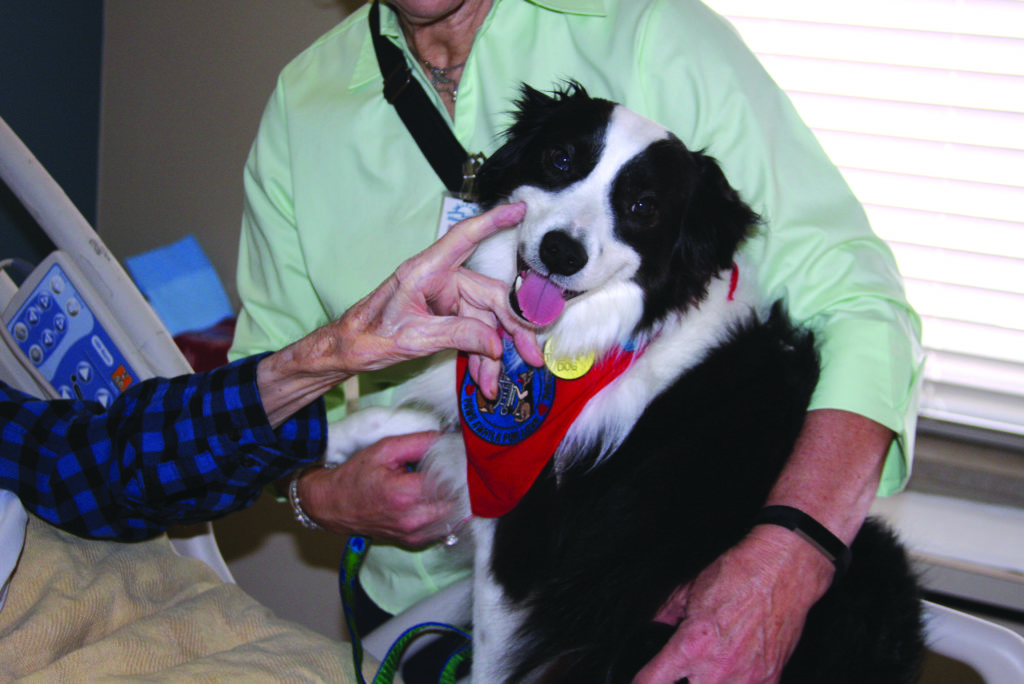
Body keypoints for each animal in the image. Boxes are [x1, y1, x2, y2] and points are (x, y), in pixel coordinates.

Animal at [325, 82, 921, 679]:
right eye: (560, 159)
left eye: (642, 207)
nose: (562, 252)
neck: (592, 339)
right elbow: (398, 416)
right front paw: (320, 439)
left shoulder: (522, 552)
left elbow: (492, 664)